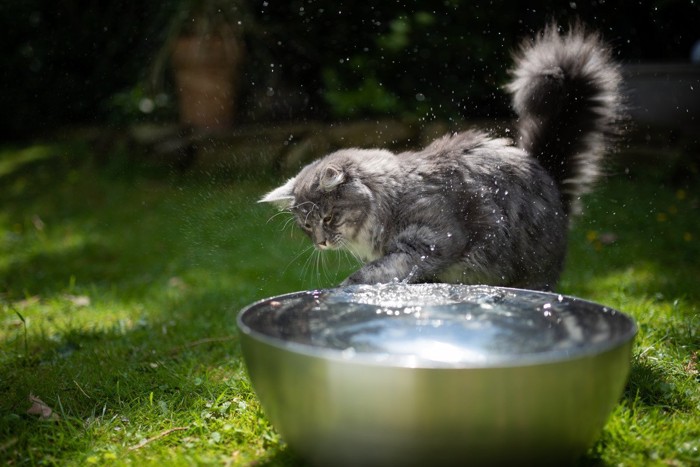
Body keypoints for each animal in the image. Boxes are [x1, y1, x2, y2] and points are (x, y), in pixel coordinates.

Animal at [260, 24, 620, 292]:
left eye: (330, 218)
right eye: (307, 227)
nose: (320, 243)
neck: (391, 198)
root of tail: (549, 178)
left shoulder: (433, 240)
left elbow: (374, 271)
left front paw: (345, 287)